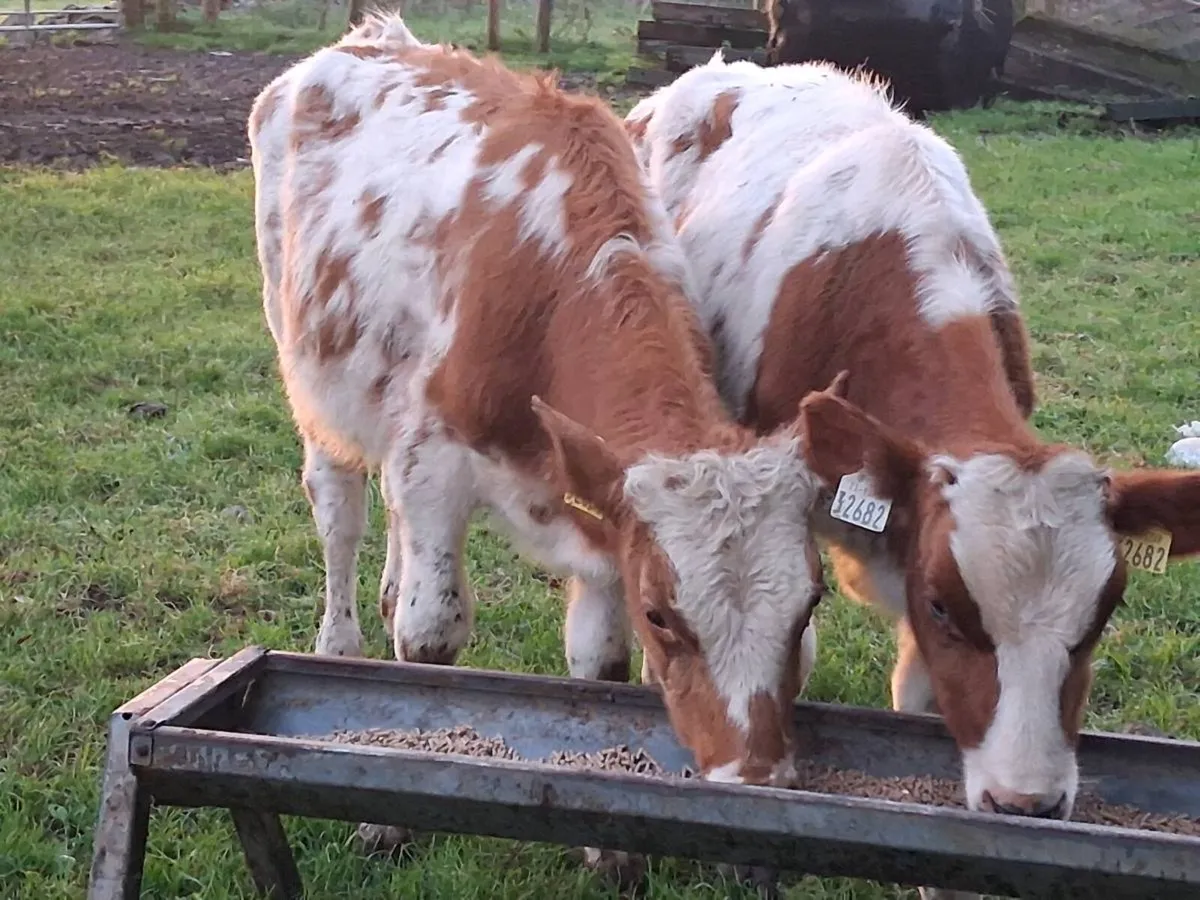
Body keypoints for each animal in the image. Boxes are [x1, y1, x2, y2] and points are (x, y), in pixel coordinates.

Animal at [248, 15, 828, 882]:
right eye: (664, 616)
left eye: (808, 607)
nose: (754, 781)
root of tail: (365, 36)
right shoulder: (435, 459)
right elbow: (430, 633)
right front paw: (386, 819)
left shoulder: (600, 509)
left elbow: (600, 667)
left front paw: (611, 850)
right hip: (311, 375)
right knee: (339, 515)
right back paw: (342, 641)